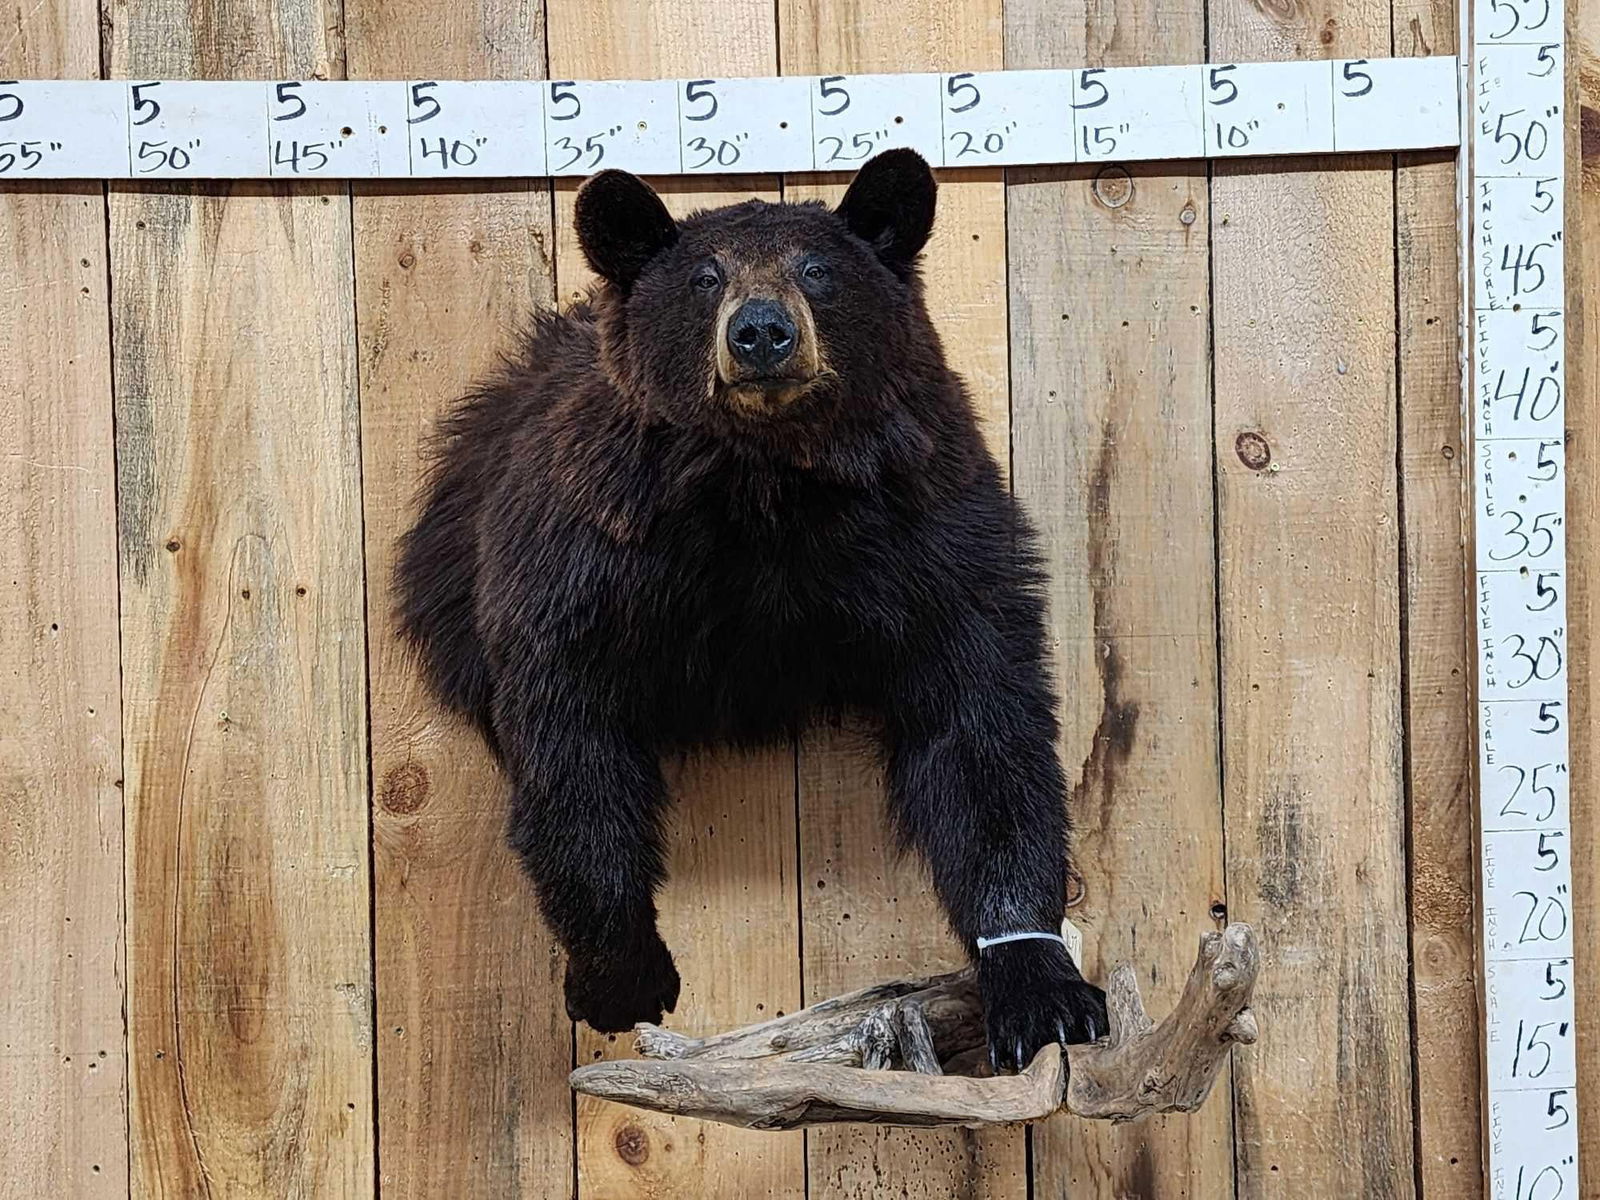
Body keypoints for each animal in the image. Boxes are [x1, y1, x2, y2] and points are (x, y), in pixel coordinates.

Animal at [395, 149, 1108, 1071]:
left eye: (817, 269)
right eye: (706, 276)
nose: (762, 332)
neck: (764, 486)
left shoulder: (929, 537)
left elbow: (983, 727)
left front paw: (1040, 986)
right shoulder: (589, 558)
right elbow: (570, 742)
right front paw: (620, 972)